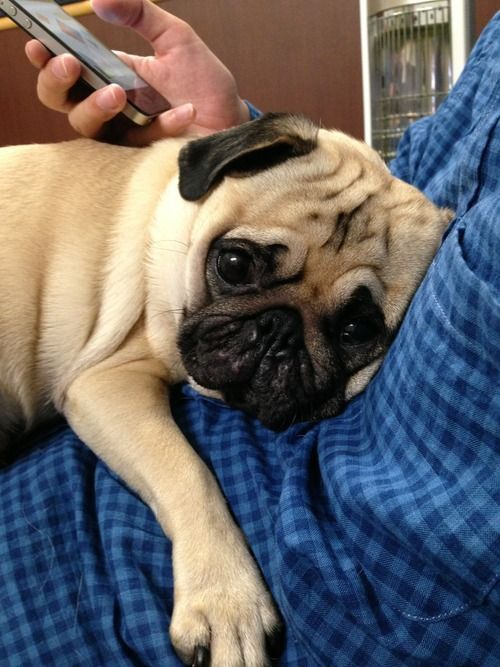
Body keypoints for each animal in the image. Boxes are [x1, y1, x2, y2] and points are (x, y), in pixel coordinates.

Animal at [0, 112, 452, 664]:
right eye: (234, 264)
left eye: (356, 330)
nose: (279, 329)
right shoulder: (104, 383)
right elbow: (188, 471)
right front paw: (227, 601)